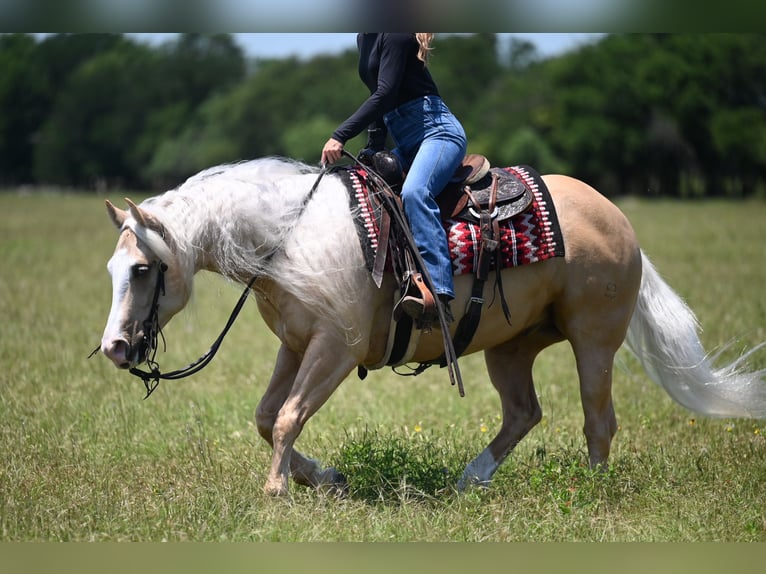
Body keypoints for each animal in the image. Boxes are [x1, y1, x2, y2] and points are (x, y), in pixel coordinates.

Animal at [97, 157, 766, 497]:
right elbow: (267, 417)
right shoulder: (297, 343)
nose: (115, 348)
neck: (289, 235)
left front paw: (278, 493)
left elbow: (286, 417)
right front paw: (325, 478)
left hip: (594, 339)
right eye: (111, 267)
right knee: (523, 413)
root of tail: (619, 220)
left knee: (598, 420)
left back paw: (591, 492)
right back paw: (469, 480)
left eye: (142, 268)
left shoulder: (335, 350)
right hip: (510, 348)